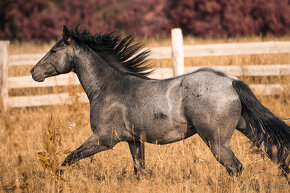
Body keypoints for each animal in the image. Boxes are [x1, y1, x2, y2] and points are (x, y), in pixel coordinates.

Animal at [30, 25, 290, 182]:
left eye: (54, 50)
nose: (33, 72)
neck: (108, 87)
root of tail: (231, 81)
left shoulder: (104, 139)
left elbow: (67, 160)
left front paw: (57, 180)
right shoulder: (134, 141)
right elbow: (139, 171)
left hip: (216, 141)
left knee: (235, 168)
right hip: (248, 128)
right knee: (275, 152)